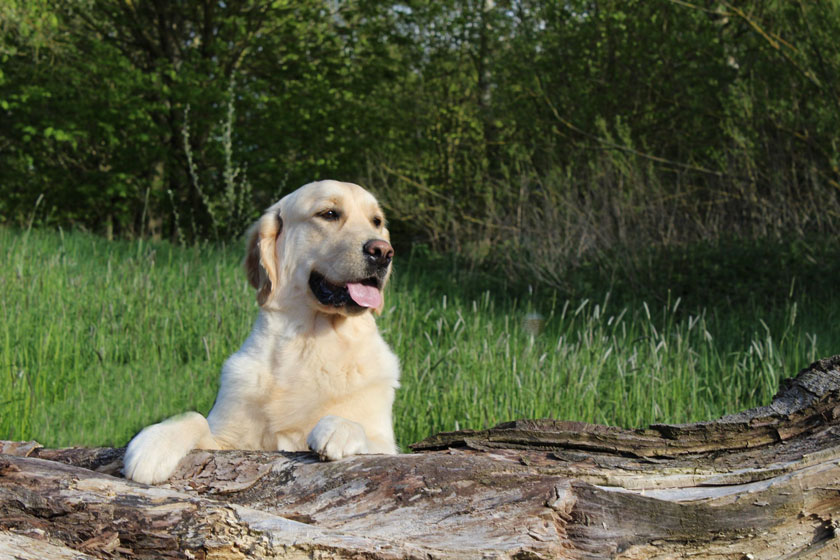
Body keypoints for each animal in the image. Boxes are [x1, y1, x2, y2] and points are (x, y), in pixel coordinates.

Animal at [123, 182, 402, 484]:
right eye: (329, 213)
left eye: (376, 221)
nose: (383, 251)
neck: (308, 343)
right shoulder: (228, 440)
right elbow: (194, 416)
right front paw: (155, 443)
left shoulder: (385, 441)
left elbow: (370, 437)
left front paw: (341, 427)